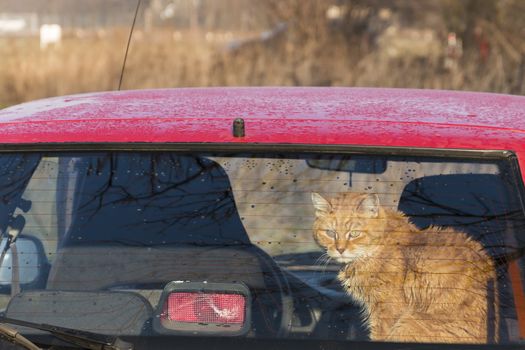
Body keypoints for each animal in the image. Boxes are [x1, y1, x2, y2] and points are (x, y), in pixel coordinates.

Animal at [312, 193, 500, 344]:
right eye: (330, 233)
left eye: (354, 233)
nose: (340, 249)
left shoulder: (386, 310)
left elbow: (379, 336)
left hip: (407, 324)